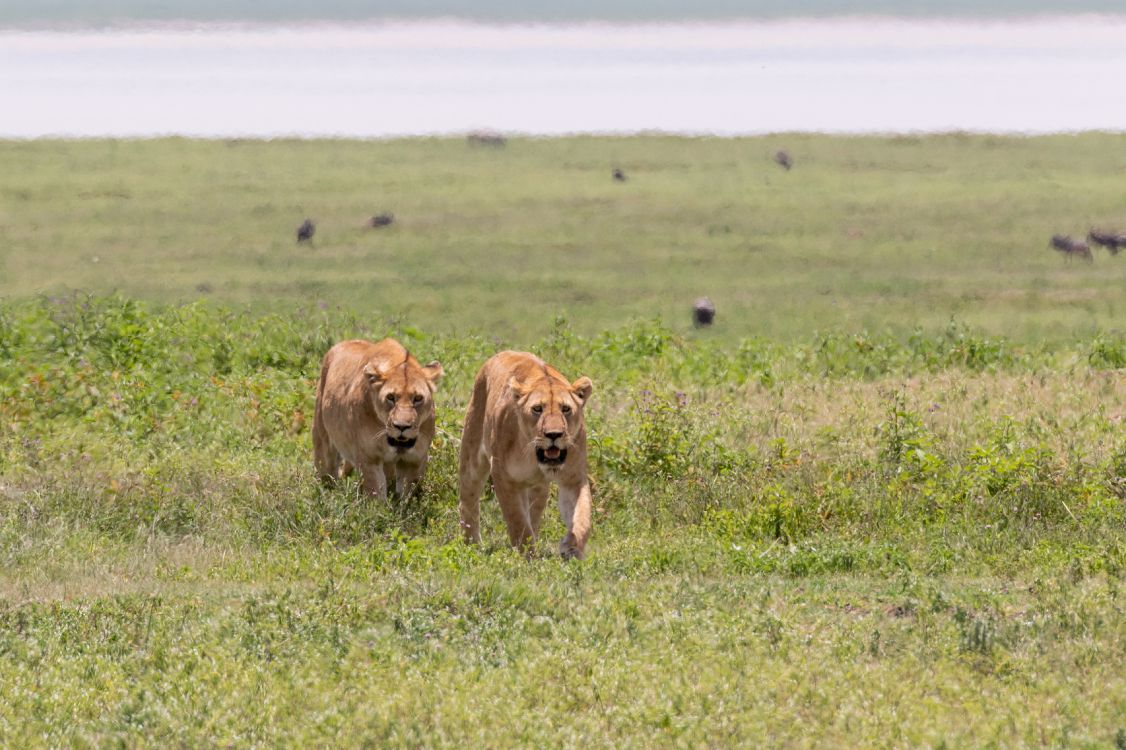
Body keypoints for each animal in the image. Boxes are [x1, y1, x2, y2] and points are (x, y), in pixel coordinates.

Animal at [313, 338, 443, 500]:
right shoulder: (369, 458)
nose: (402, 426)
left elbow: (406, 495)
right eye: (390, 397)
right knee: (326, 469)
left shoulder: (414, 459)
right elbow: (376, 495)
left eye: (418, 398)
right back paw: (326, 495)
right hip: (322, 435)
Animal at [458, 351, 594, 560]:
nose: (553, 434)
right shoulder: (504, 477)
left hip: (538, 487)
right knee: (468, 500)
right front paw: (527, 557)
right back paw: (472, 546)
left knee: (535, 513)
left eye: (566, 409)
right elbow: (518, 522)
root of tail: (502, 352)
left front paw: (571, 548)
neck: (532, 456)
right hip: (472, 458)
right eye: (537, 409)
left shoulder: (574, 479)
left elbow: (582, 516)